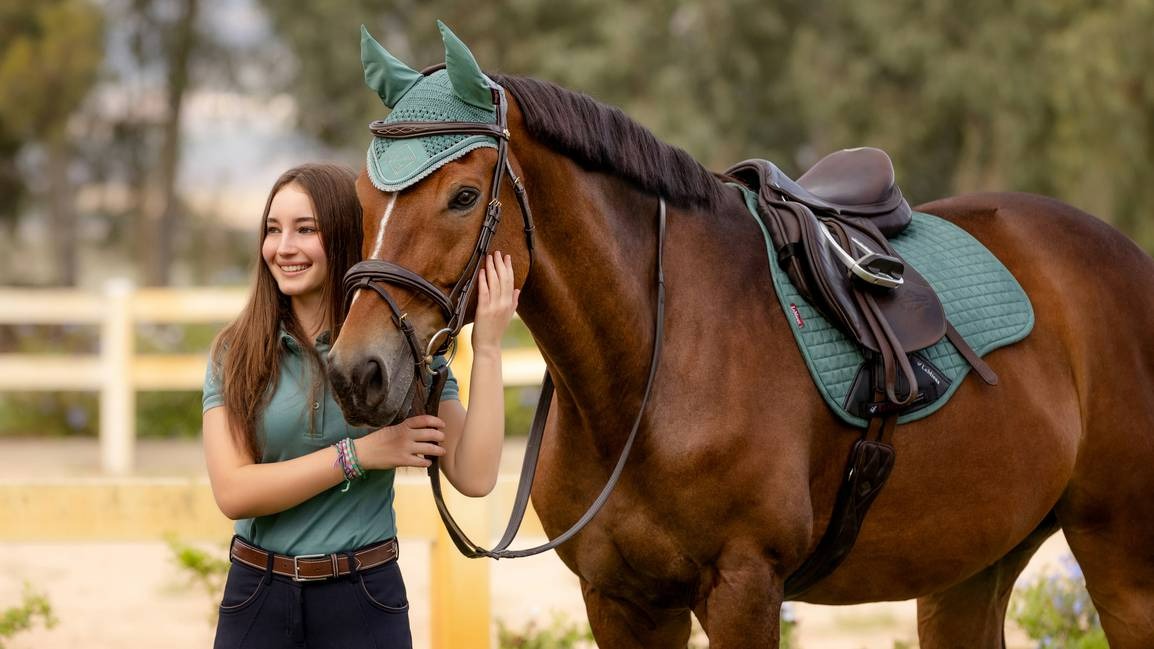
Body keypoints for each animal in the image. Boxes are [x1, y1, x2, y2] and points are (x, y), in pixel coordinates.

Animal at [325, 22, 1154, 642]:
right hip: (969, 570)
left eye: (464, 195)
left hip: (1121, 562)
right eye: (365, 193)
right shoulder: (620, 600)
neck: (651, 369)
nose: (356, 371)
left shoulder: (745, 587)